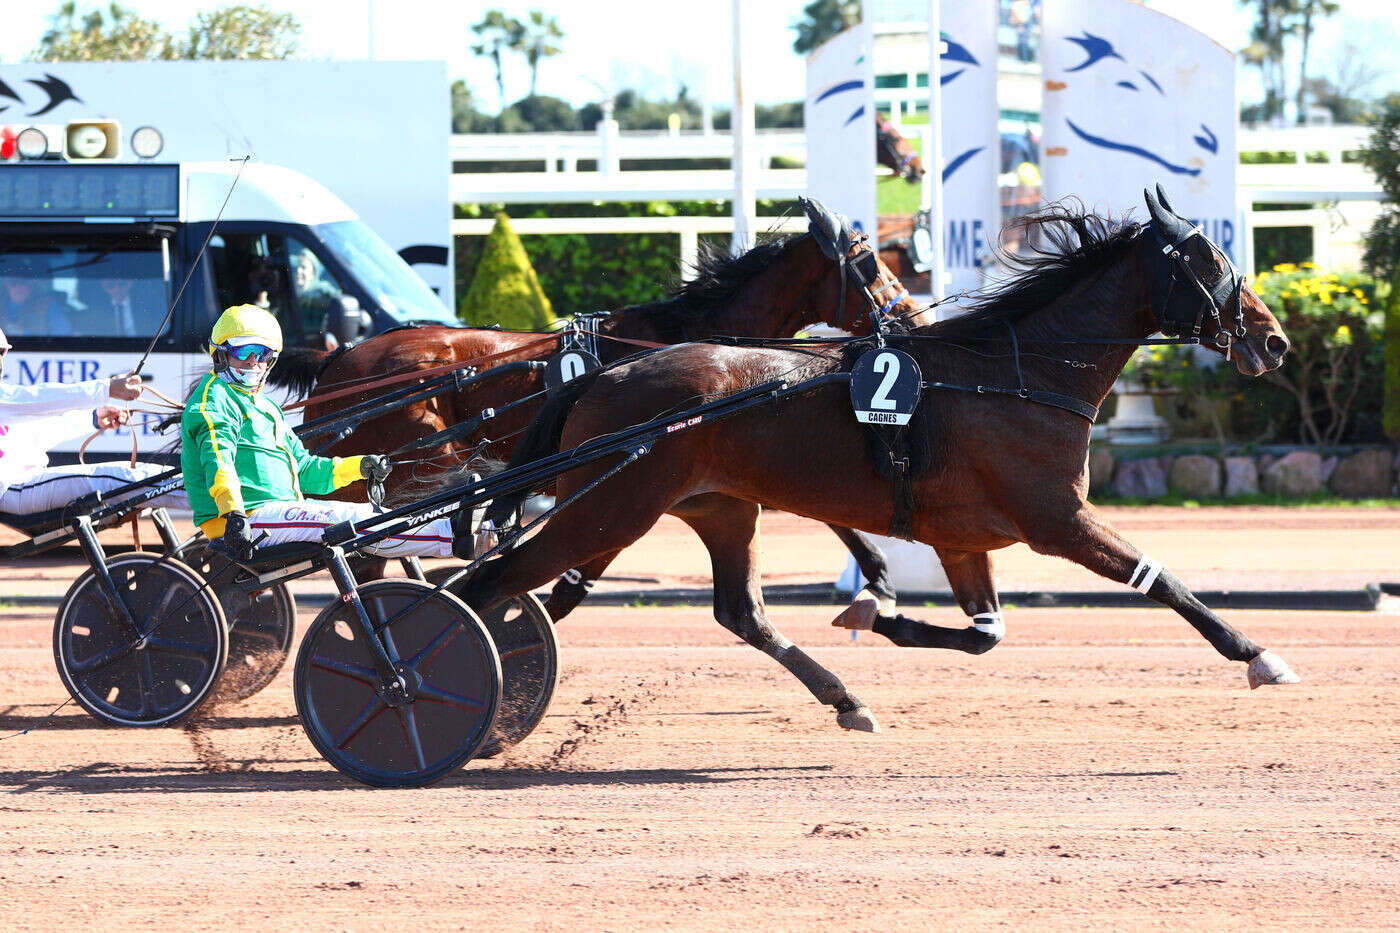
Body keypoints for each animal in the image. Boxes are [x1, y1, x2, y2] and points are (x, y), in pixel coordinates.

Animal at [268, 210, 929, 616]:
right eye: (870, 264)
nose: (911, 317)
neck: (684, 336)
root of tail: (338, 358)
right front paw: (878, 578)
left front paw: (877, 576)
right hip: (413, 453)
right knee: (363, 546)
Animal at [459, 184, 1299, 728]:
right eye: (1210, 261)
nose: (1275, 340)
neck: (1015, 374)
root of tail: (604, 370)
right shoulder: (1056, 518)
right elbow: (1164, 580)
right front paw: (1258, 653)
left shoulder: (964, 538)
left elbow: (985, 632)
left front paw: (881, 612)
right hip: (611, 507)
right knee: (492, 583)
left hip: (716, 504)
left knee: (739, 610)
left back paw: (845, 698)